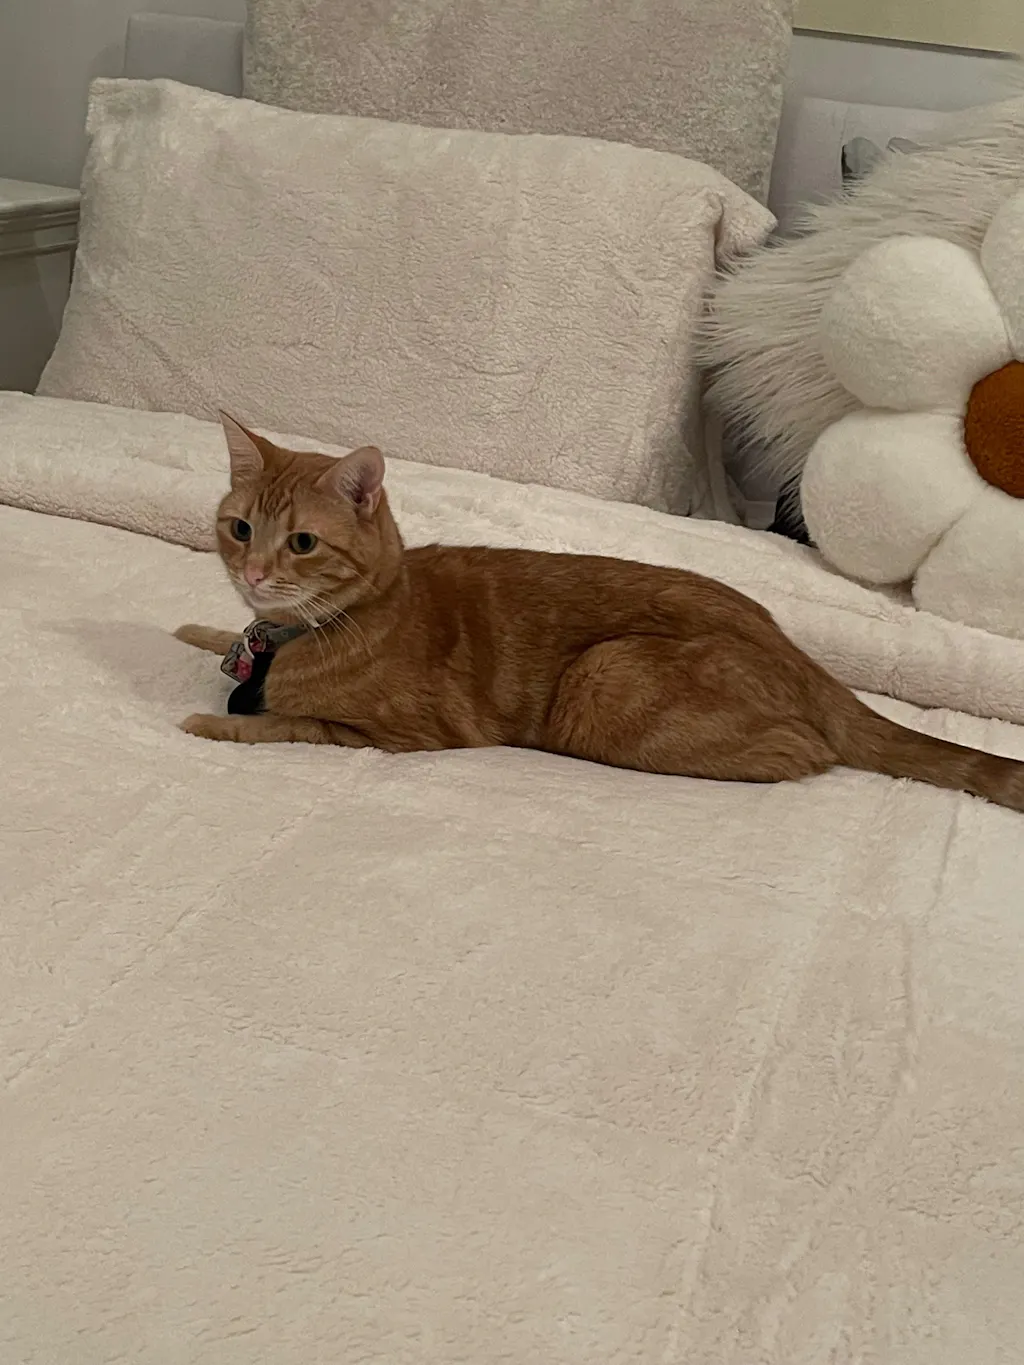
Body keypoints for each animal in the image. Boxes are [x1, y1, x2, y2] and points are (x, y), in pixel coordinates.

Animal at [175, 413, 1024, 811]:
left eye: (303, 542)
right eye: (240, 528)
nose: (255, 572)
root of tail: (802, 658)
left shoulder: (400, 734)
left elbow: (281, 723)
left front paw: (211, 720)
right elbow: (220, 643)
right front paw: (198, 630)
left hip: (605, 676)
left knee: (803, 752)